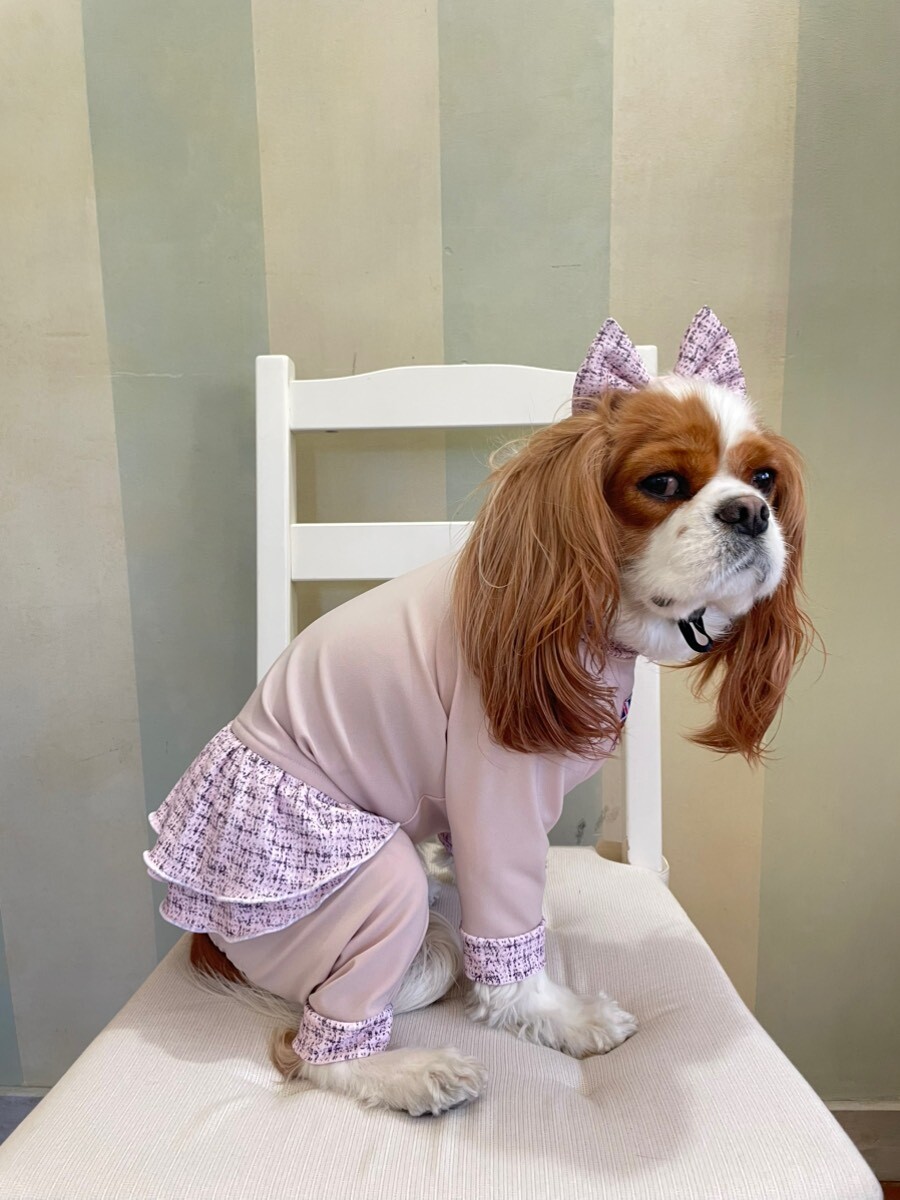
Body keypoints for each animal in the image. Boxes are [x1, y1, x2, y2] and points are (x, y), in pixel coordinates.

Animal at [150, 308, 812, 1116]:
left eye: (764, 478)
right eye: (661, 483)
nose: (749, 512)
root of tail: (207, 940)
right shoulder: (495, 792)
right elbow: (510, 938)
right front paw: (559, 1016)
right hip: (367, 889)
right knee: (316, 1046)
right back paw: (408, 1070)